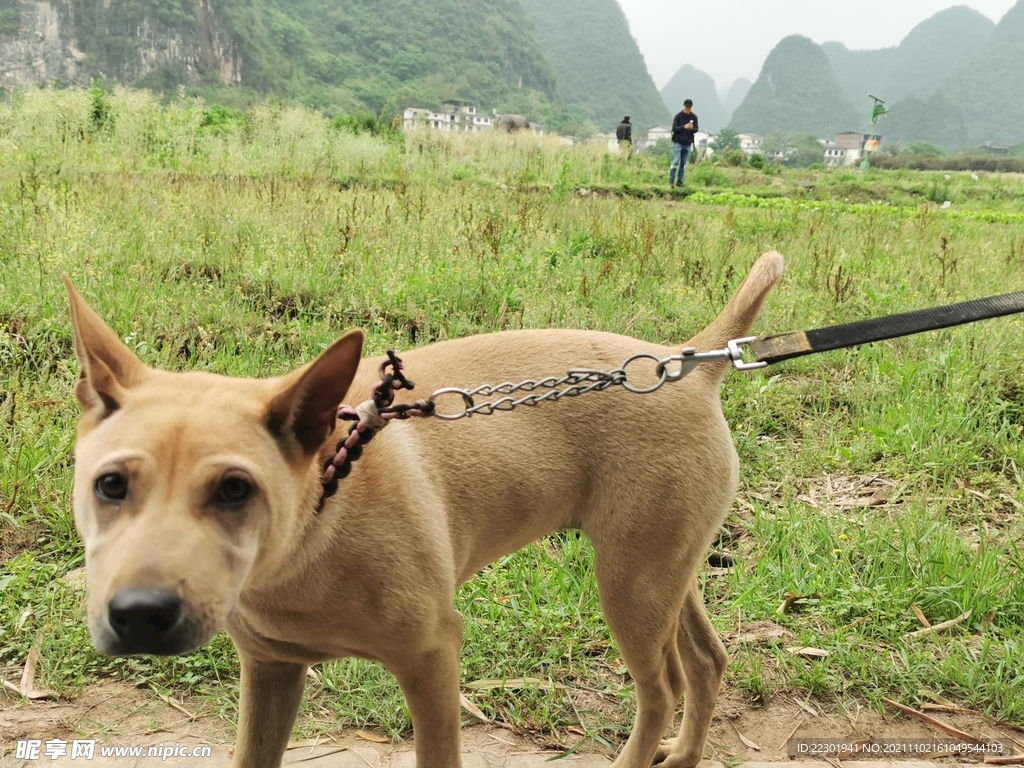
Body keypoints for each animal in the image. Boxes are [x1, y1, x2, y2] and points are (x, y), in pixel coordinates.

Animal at [64, 252, 782, 768]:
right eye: (110, 486)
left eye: (235, 490)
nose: (140, 616)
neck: (316, 522)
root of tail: (687, 362)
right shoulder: (271, 670)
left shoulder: (433, 657)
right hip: (663, 566)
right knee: (705, 661)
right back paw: (684, 754)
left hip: (631, 583)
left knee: (660, 691)